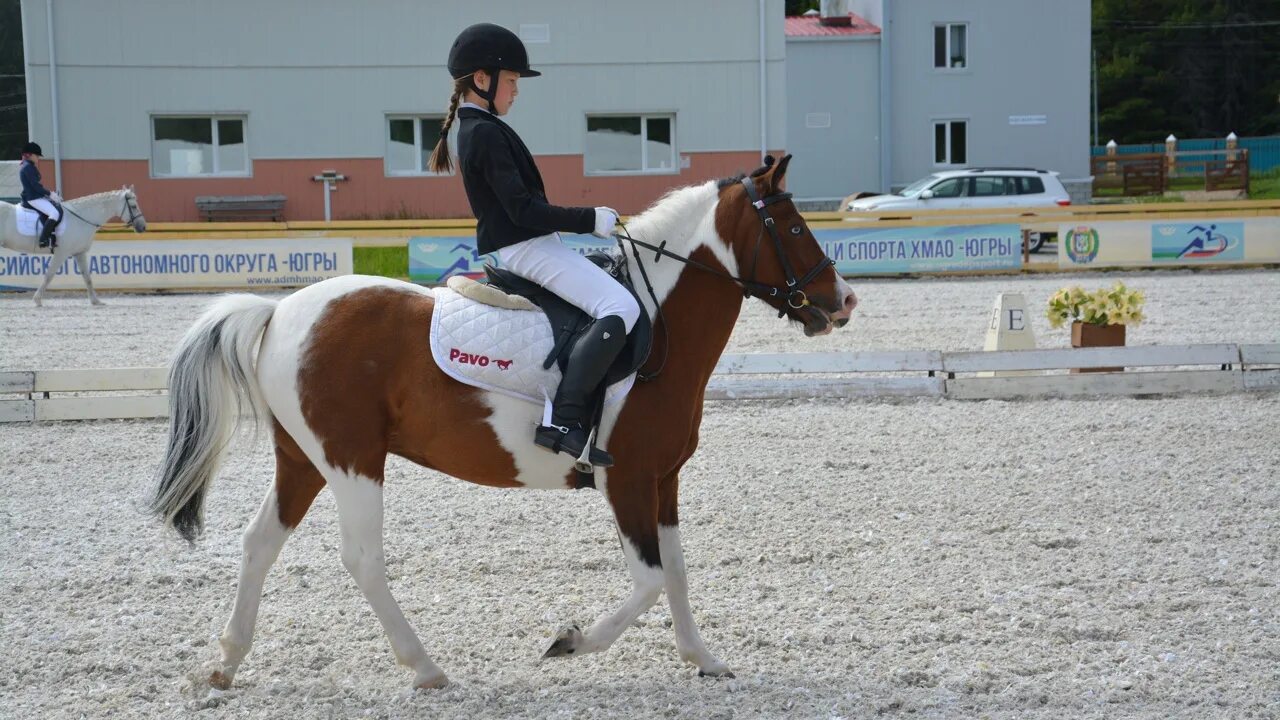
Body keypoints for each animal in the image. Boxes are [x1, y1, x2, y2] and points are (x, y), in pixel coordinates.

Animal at [0, 184, 146, 304]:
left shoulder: (79, 252)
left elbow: (87, 277)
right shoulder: (61, 253)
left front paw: (95, 301)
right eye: (134, 206)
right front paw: (37, 300)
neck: (81, 218)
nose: (143, 227)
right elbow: (49, 275)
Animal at [147, 154, 849, 686]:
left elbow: (674, 572)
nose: (842, 302)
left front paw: (704, 659)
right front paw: (570, 641)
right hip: (351, 461)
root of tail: (279, 312)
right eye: (791, 229)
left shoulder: (662, 480)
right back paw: (425, 667)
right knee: (363, 558)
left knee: (260, 542)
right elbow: (649, 581)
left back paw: (225, 663)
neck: (658, 327)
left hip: (303, 459)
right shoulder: (624, 479)